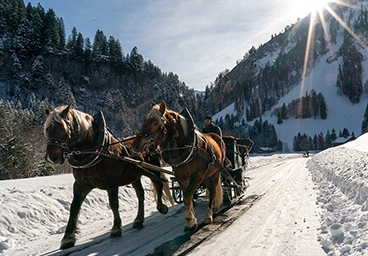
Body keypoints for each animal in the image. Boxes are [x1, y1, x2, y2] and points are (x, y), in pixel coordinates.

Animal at [43, 103, 173, 248]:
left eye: (62, 128)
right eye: (47, 129)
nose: (52, 157)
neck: (97, 151)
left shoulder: (112, 184)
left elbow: (114, 204)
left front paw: (116, 228)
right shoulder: (81, 185)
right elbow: (74, 207)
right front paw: (68, 238)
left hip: (154, 167)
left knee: (158, 183)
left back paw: (161, 207)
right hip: (135, 175)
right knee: (140, 194)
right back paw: (139, 219)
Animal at [131, 101, 226, 231]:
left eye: (155, 123)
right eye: (144, 121)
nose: (135, 145)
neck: (189, 147)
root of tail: (217, 137)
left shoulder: (198, 176)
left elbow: (187, 196)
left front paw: (190, 221)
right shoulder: (181, 176)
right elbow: (187, 197)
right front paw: (191, 220)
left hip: (216, 172)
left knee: (213, 192)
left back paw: (208, 215)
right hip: (207, 175)